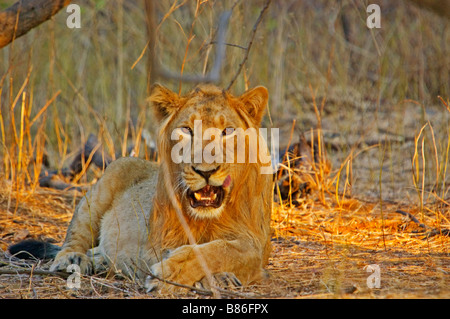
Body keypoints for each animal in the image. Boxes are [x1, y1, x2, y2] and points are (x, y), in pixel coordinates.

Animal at [8, 84, 272, 292]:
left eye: (228, 131)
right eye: (186, 130)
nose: (205, 171)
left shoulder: (256, 243)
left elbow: (223, 250)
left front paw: (221, 277)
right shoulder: (155, 243)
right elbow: (199, 251)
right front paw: (173, 275)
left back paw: (102, 261)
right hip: (102, 189)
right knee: (74, 237)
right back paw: (73, 259)